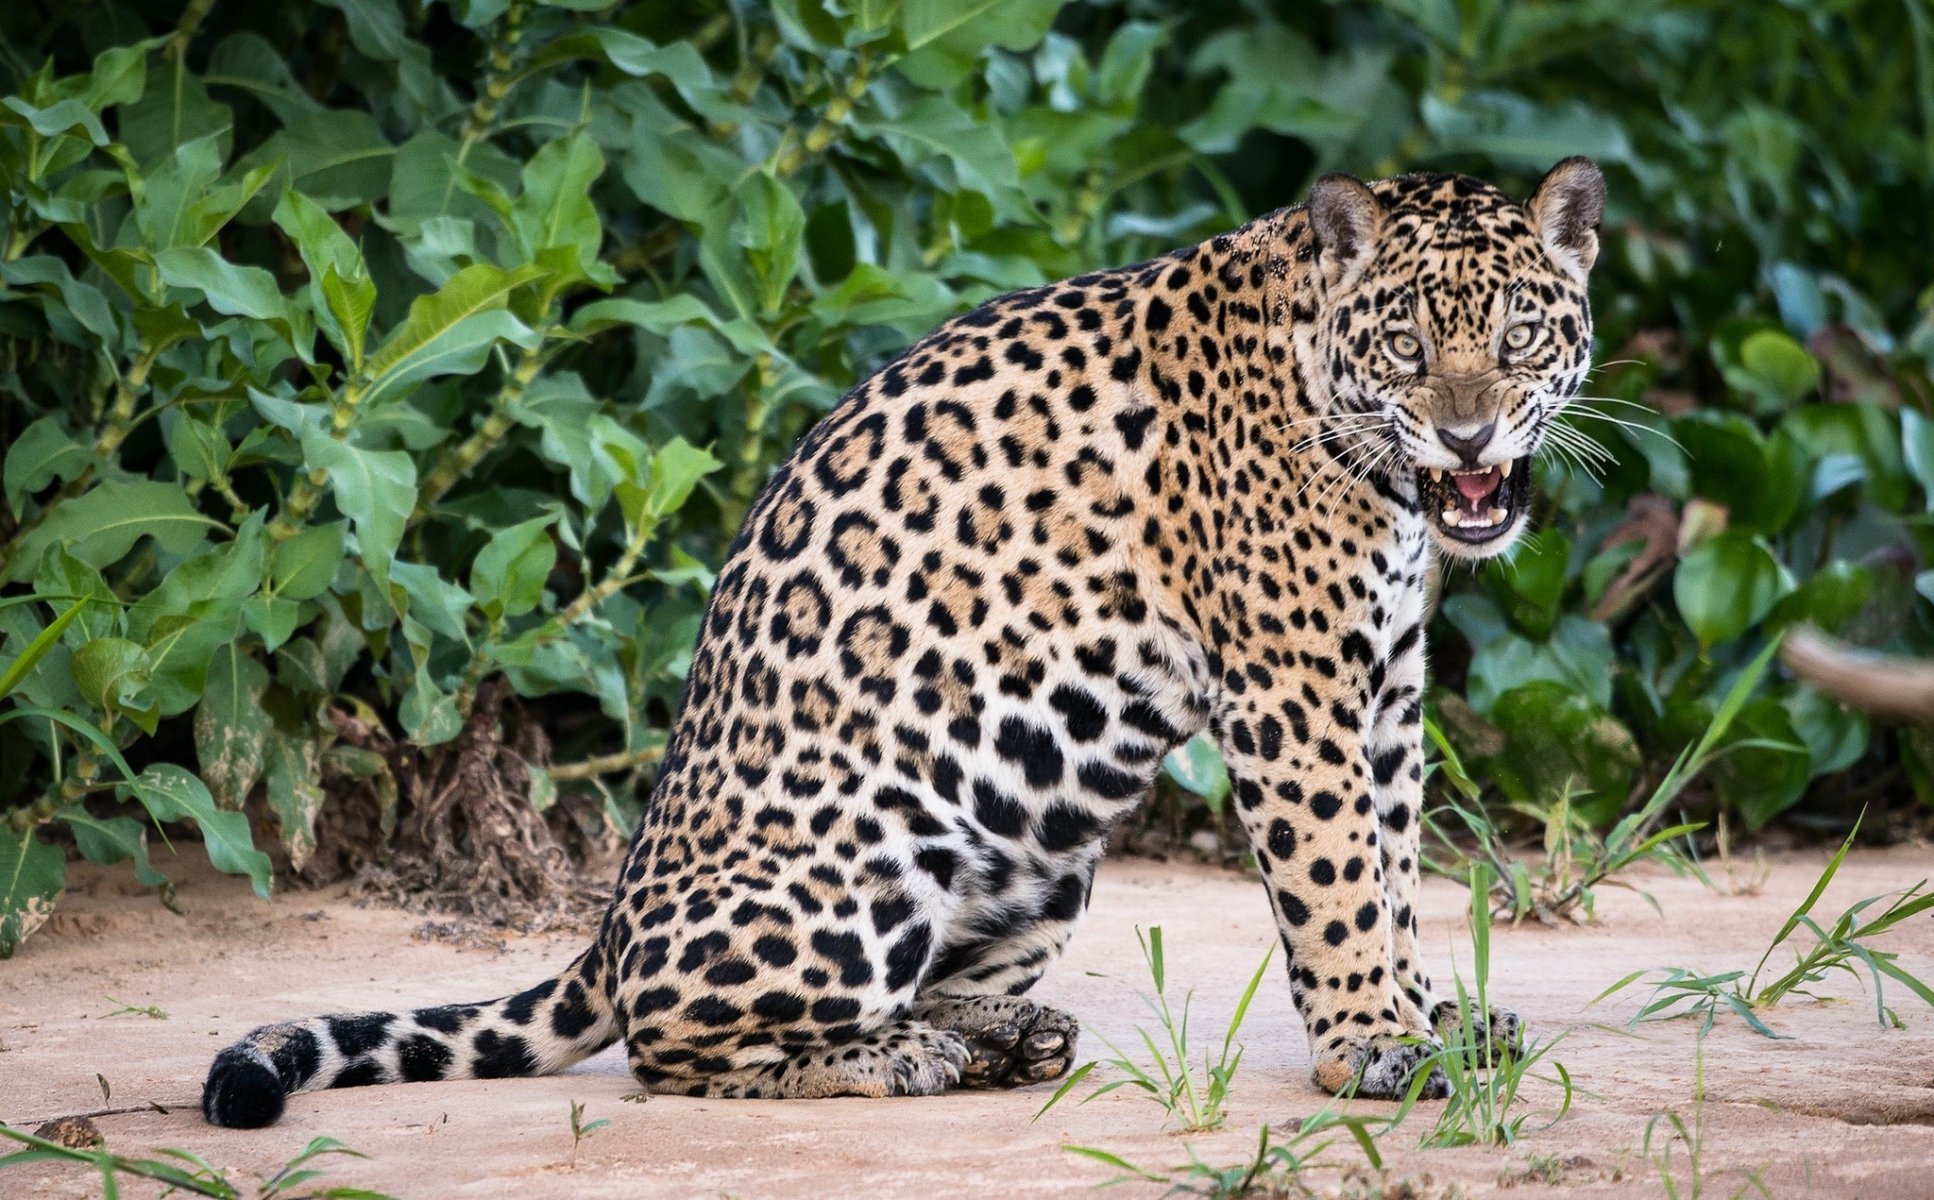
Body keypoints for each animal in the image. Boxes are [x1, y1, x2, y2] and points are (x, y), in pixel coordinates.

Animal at [201, 157, 1605, 1127]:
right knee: (675, 1053)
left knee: (913, 983)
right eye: (1406, 344)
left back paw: (997, 1033)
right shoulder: (1292, 686)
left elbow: (1395, 868)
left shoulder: (1384, 692)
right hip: (856, 876)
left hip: (1044, 859)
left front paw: (1425, 1014)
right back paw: (904, 1057)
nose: (1469, 437)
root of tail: (607, 924)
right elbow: (1336, 882)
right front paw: (1372, 1045)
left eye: (1516, 336)